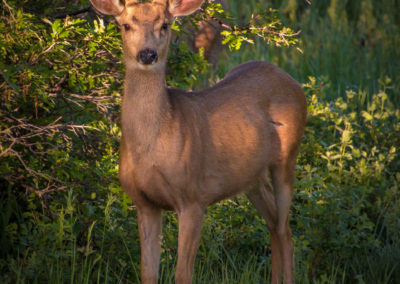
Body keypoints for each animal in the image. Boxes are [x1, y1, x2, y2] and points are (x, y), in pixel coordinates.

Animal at [89, 0, 304, 282]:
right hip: (251, 177)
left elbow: (182, 274)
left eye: (165, 25)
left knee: (285, 231)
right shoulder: (144, 202)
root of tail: (290, 79)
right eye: (125, 25)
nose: (147, 54)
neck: (152, 146)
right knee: (274, 226)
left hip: (287, 158)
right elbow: (147, 273)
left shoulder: (193, 198)